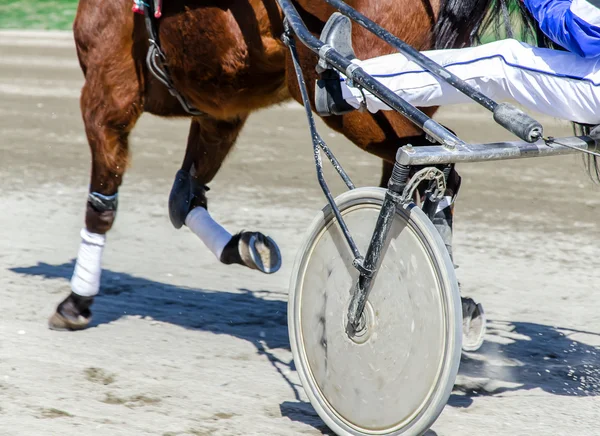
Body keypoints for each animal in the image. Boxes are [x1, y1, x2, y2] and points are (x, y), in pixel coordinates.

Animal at [48, 0, 524, 330]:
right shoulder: (220, 110)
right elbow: (184, 198)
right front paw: (245, 246)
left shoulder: (106, 96)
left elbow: (101, 206)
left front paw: (77, 300)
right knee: (425, 178)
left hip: (359, 104)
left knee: (435, 171)